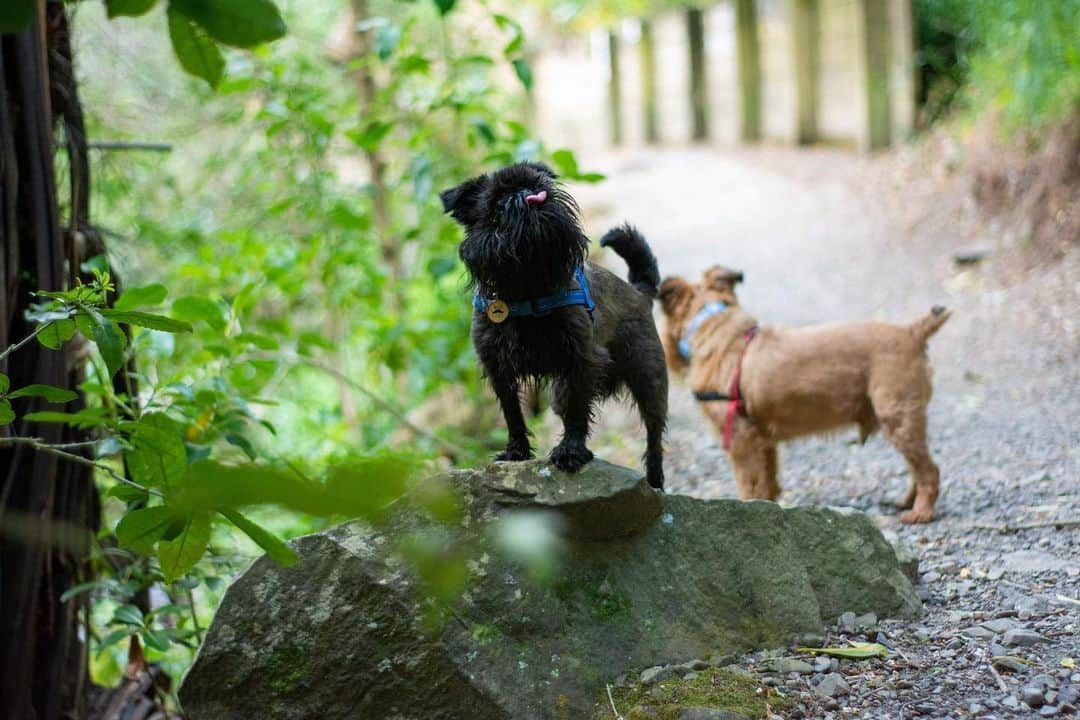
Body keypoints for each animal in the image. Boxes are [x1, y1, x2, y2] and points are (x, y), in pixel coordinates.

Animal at [440, 162, 665, 490]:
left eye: (538, 183)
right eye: (498, 201)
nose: (529, 193)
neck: (527, 287)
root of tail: (638, 290)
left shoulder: (581, 360)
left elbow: (577, 410)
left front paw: (571, 451)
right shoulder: (498, 368)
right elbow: (513, 414)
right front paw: (516, 452)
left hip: (649, 377)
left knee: (654, 432)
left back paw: (656, 479)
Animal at [660, 266, 950, 524]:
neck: (712, 323)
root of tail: (911, 332)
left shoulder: (740, 440)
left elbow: (749, 485)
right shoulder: (762, 440)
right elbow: (768, 483)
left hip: (897, 417)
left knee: (929, 471)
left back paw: (921, 512)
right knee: (917, 467)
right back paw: (907, 502)